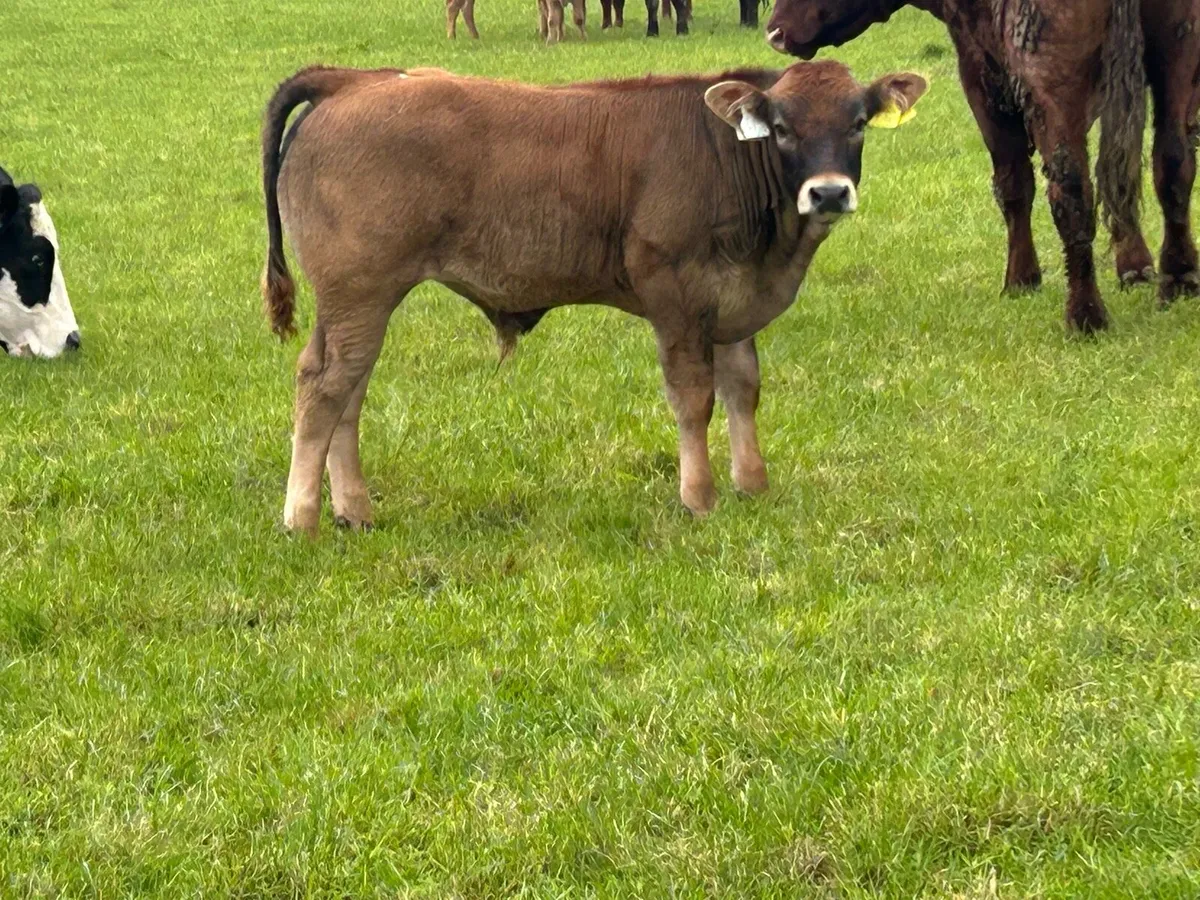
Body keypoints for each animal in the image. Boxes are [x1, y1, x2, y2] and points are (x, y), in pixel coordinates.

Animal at [260, 62, 928, 536]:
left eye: (858, 123)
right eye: (784, 128)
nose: (829, 193)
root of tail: (352, 80)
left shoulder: (735, 303)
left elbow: (743, 388)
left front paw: (751, 484)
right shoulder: (675, 298)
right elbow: (694, 398)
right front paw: (699, 497)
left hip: (354, 305)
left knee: (346, 390)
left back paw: (353, 510)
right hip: (360, 295)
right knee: (324, 387)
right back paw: (302, 518)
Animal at [765, 0, 1161, 332]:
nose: (774, 32)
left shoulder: (981, 78)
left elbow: (1013, 186)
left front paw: (1020, 280)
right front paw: (1133, 265)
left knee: (1072, 189)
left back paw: (1085, 316)